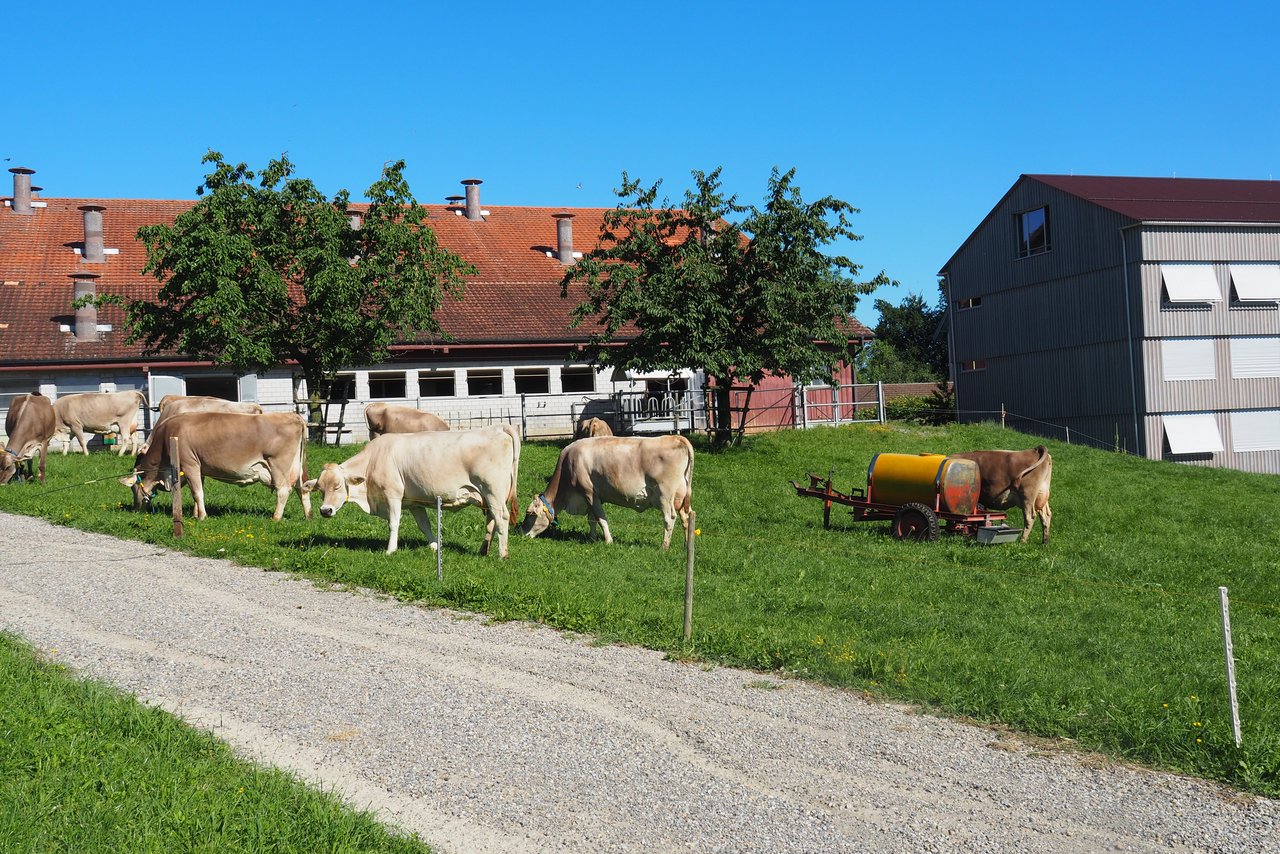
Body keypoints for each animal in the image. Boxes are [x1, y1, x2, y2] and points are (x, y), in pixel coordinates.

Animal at [122, 409, 312, 522]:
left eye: (133, 488)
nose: (135, 509)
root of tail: (292, 415)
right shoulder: (199, 468)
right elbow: (197, 491)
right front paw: (196, 513)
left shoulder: (189, 464)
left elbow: (197, 493)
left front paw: (202, 517)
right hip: (298, 466)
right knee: (302, 488)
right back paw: (308, 516)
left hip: (279, 465)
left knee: (283, 490)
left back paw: (276, 518)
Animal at [302, 422, 517, 558]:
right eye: (320, 489)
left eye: (337, 486)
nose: (325, 510)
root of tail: (498, 427)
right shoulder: (414, 502)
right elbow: (425, 525)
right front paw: (435, 546)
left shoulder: (393, 495)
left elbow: (394, 523)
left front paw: (390, 550)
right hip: (486, 496)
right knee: (491, 520)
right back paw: (483, 550)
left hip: (493, 491)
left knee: (501, 518)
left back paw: (502, 554)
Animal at [519, 437, 696, 550]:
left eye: (530, 513)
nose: (521, 532)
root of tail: (676, 437)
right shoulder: (593, 497)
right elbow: (592, 519)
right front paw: (591, 538)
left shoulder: (589, 492)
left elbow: (601, 519)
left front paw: (608, 541)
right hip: (681, 496)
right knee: (686, 517)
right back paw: (687, 545)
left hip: (664, 495)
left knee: (669, 518)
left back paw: (664, 546)